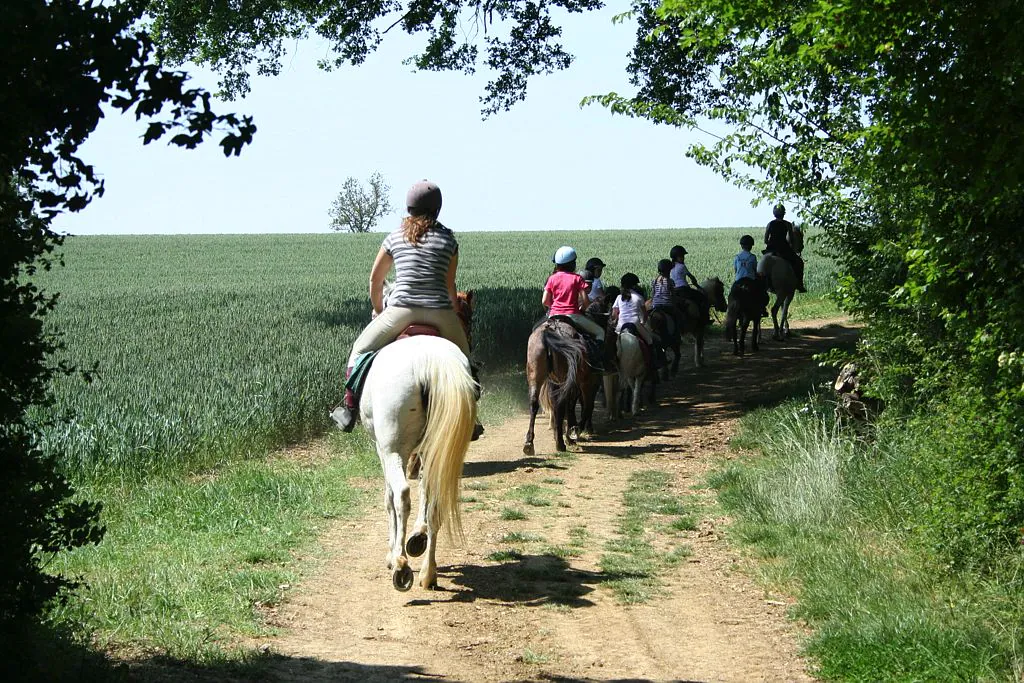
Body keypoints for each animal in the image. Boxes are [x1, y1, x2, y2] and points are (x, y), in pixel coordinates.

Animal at [524, 319, 610, 454]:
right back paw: (562, 442)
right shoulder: (588, 383)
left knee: (535, 404)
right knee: (563, 405)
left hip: (536, 376)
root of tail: (551, 329)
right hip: (567, 381)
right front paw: (575, 431)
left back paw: (529, 443)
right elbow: (585, 407)